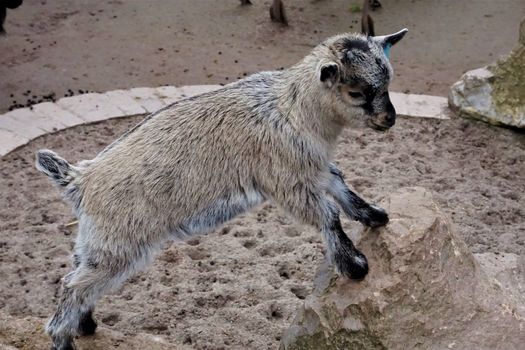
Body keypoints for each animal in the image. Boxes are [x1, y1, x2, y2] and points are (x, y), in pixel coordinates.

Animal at [35, 30, 406, 350]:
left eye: (388, 82)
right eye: (356, 93)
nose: (389, 119)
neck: (292, 108)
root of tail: (79, 179)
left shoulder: (311, 166)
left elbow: (340, 184)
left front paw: (374, 215)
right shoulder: (287, 179)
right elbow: (328, 215)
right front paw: (355, 266)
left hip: (96, 239)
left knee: (77, 273)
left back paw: (85, 325)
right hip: (120, 242)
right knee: (73, 285)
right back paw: (64, 339)